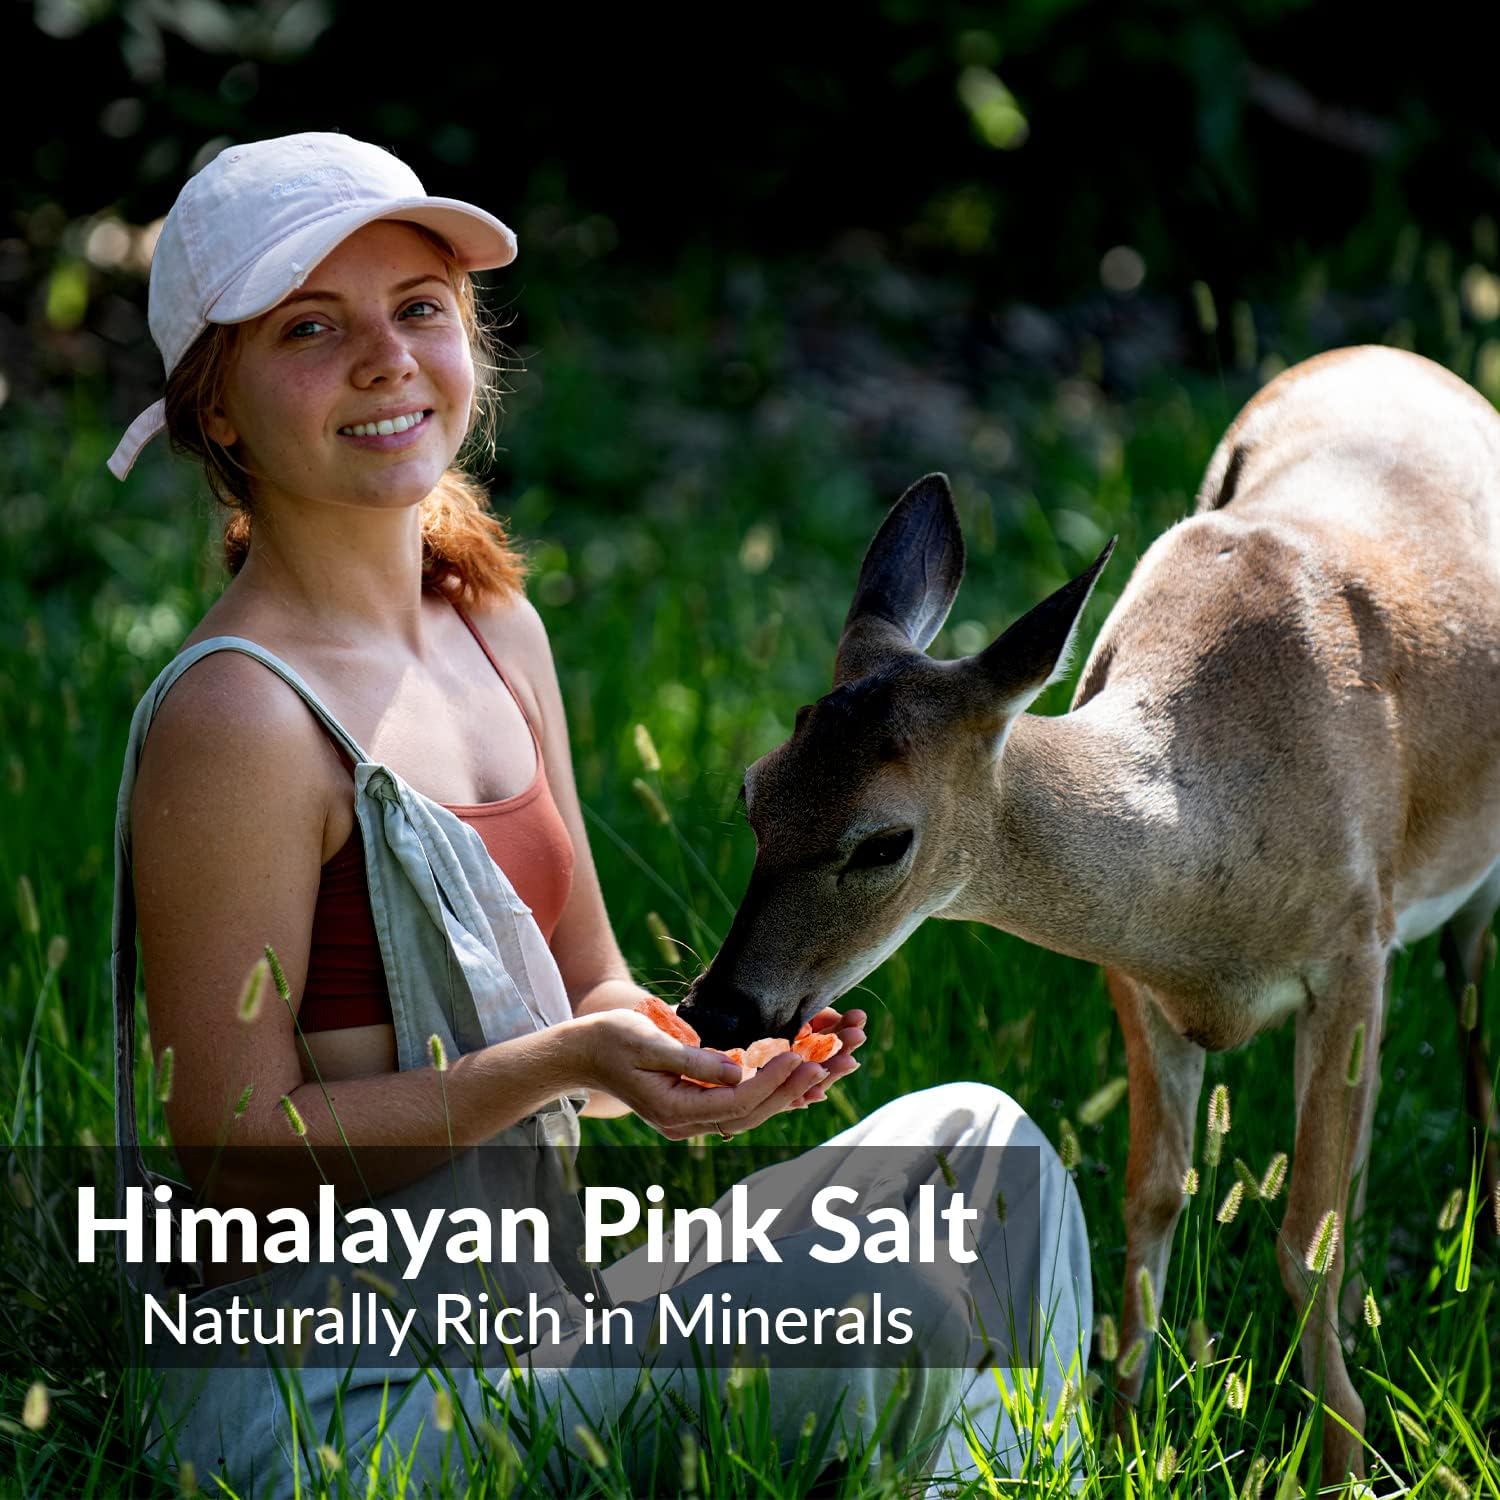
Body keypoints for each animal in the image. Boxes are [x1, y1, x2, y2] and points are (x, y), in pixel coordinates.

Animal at [675, 345, 1500, 1482]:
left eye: (882, 841)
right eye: (755, 792)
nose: (718, 1011)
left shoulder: (1351, 947)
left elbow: (1302, 1239)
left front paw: (1343, 1464)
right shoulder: (1137, 980)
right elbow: (1153, 1199)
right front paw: (1120, 1440)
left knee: (1467, 1029)